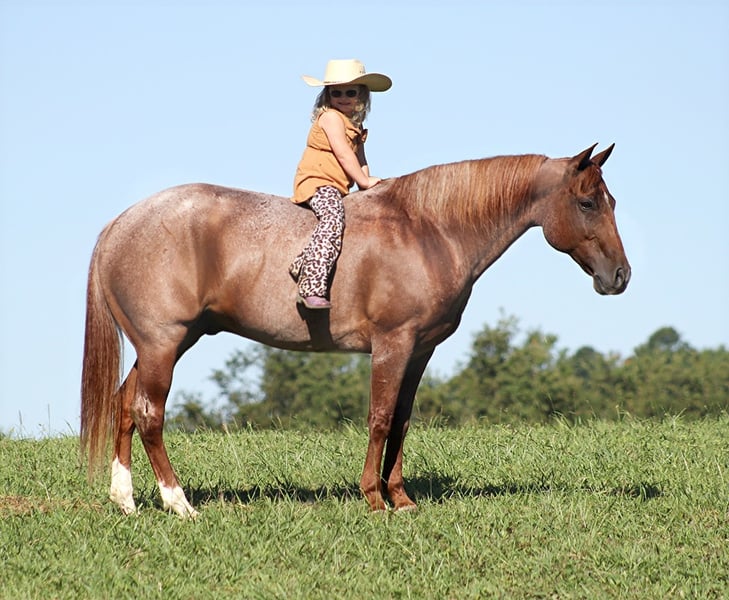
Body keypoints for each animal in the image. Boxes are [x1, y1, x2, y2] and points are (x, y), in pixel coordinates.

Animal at [81, 144, 630, 517]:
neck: (429, 230)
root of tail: (120, 224)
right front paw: (373, 498)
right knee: (149, 414)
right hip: (163, 343)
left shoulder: (420, 352)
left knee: (125, 404)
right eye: (587, 203)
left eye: (612, 201)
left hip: (166, 344)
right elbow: (380, 418)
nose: (620, 276)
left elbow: (403, 422)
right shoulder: (392, 344)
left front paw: (401, 498)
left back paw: (125, 500)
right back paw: (179, 504)